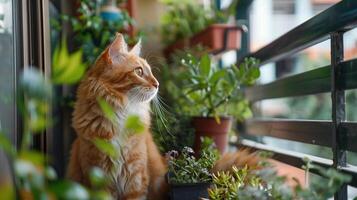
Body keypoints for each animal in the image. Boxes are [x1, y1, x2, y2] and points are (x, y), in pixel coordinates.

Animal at [67, 33, 258, 200]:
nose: (157, 84)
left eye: (151, 72)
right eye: (139, 72)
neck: (120, 115)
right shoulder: (99, 179)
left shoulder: (136, 179)